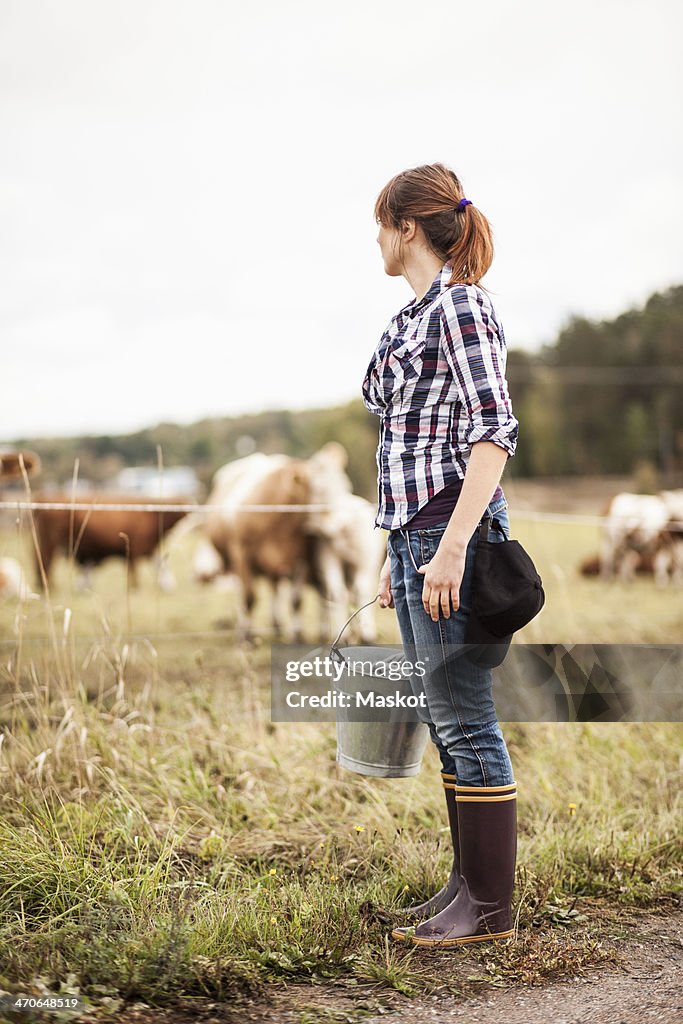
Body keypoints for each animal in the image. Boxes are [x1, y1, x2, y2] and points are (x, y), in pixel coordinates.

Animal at [31, 491, 188, 589]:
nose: (172, 587)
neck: (152, 515)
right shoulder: (134, 549)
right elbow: (134, 572)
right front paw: (135, 588)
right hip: (50, 542)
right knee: (45, 561)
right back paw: (49, 587)